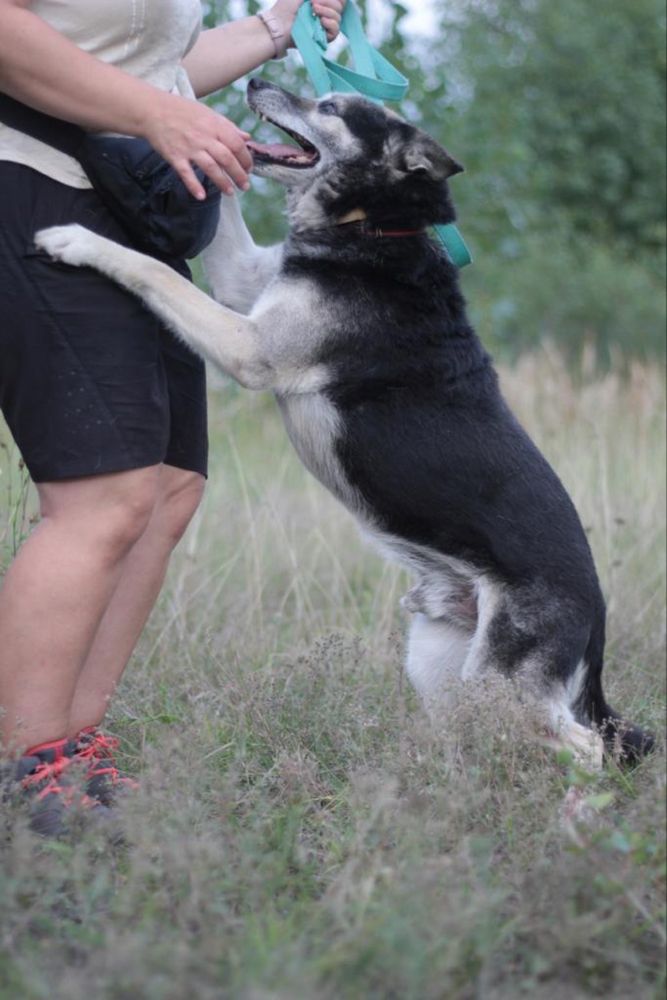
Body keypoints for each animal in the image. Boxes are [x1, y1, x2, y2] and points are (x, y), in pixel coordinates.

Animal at [34, 80, 656, 764]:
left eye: (330, 108)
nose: (256, 83)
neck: (374, 223)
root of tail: (597, 623)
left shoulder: (251, 348)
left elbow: (150, 270)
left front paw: (77, 240)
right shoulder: (245, 283)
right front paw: (182, 96)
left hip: (502, 686)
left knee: (587, 748)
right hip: (443, 667)